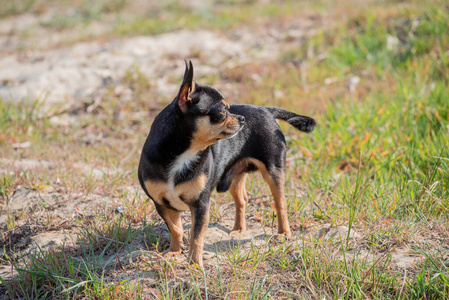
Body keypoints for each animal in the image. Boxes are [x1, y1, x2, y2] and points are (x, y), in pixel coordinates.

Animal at [136, 59, 316, 266]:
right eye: (222, 112)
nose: (241, 118)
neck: (183, 153)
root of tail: (266, 110)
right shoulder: (162, 204)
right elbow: (176, 229)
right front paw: (175, 251)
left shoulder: (201, 205)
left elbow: (196, 236)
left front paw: (194, 263)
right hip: (234, 176)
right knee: (242, 199)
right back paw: (239, 229)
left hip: (273, 171)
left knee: (281, 203)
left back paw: (284, 233)